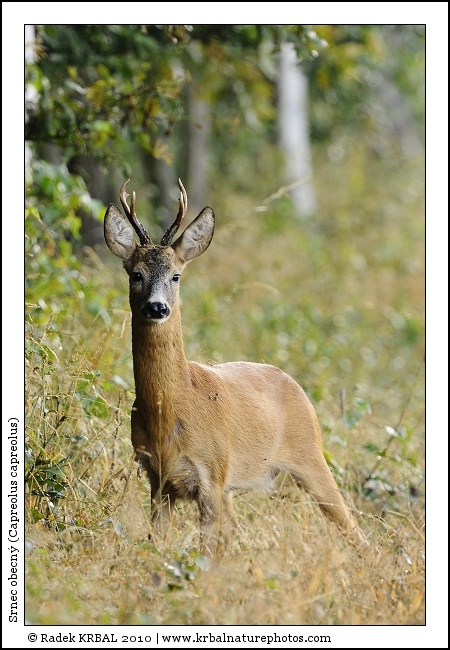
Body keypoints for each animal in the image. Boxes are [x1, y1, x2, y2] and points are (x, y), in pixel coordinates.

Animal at [104, 179, 367, 552]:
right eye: (136, 274)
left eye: (176, 276)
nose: (156, 308)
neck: (170, 412)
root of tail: (294, 384)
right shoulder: (158, 479)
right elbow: (156, 544)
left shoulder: (211, 473)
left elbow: (206, 550)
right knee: (234, 531)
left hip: (310, 455)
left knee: (352, 527)